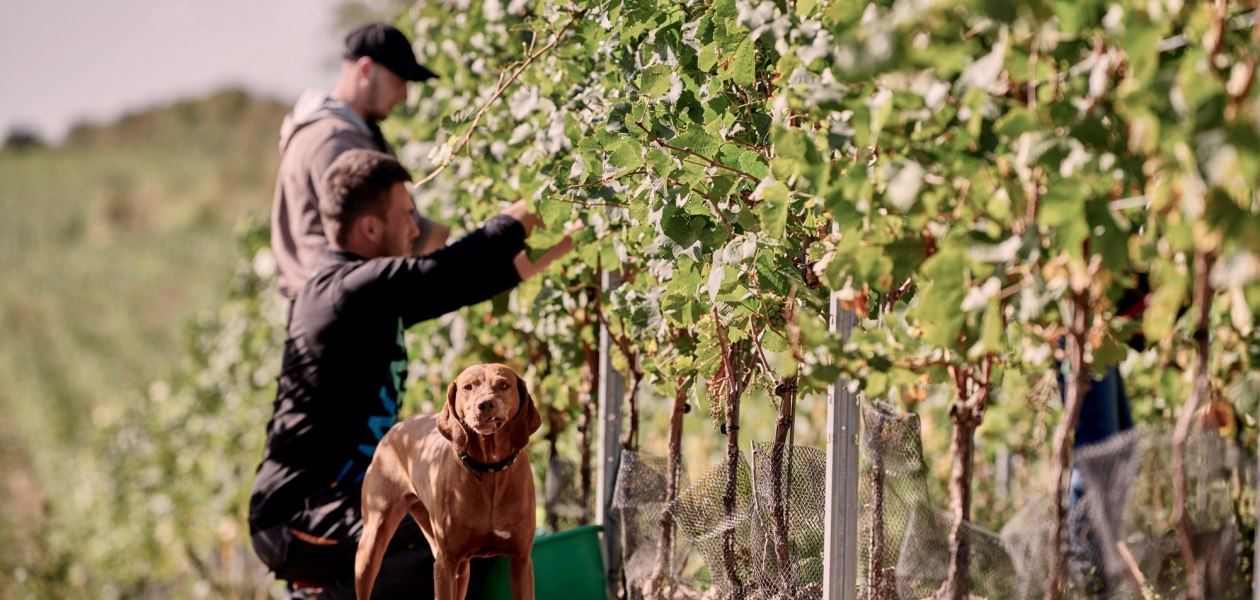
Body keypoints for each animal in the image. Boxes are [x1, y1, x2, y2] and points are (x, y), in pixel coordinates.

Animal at [355, 363, 541, 597]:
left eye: (504, 385)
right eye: (468, 387)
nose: (485, 404)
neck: (490, 471)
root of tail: (398, 428)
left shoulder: (521, 560)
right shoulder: (446, 563)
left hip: (459, 566)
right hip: (371, 543)